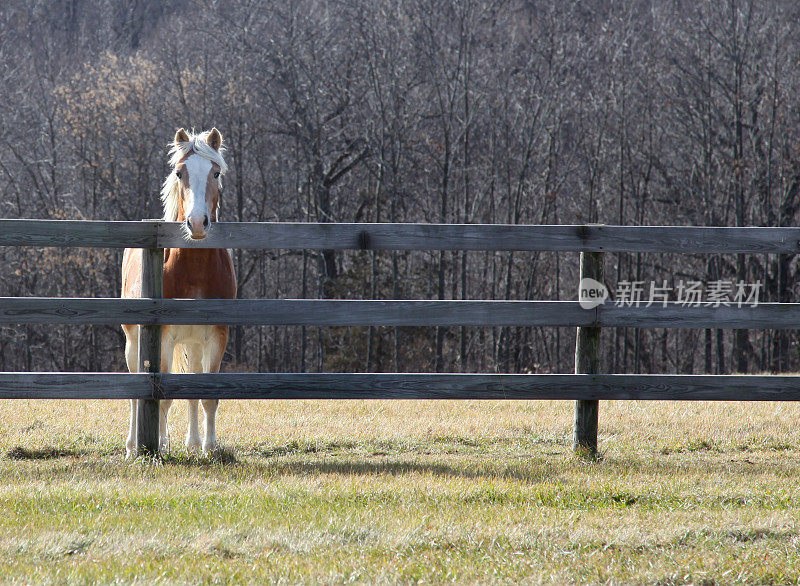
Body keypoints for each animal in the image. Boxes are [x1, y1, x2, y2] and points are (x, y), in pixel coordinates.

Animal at [120, 128, 236, 456]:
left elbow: (206, 394)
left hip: (194, 344)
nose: (196, 222)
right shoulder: (164, 338)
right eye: (179, 172)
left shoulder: (216, 336)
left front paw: (209, 448)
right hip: (134, 341)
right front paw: (159, 445)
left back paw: (193, 443)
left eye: (215, 172)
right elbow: (162, 398)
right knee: (135, 393)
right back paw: (134, 445)